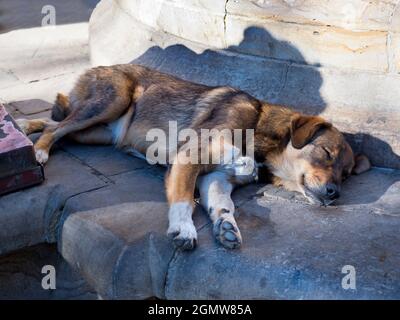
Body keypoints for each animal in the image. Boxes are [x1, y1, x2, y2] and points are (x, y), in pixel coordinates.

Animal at [16, 64, 372, 250]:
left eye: (345, 175)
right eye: (326, 152)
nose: (334, 194)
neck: (260, 128)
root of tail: (97, 67)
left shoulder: (215, 180)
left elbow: (223, 205)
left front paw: (226, 225)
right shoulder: (191, 156)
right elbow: (185, 199)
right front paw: (184, 229)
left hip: (99, 132)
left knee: (56, 123)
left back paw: (23, 126)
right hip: (111, 101)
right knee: (57, 127)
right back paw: (38, 150)